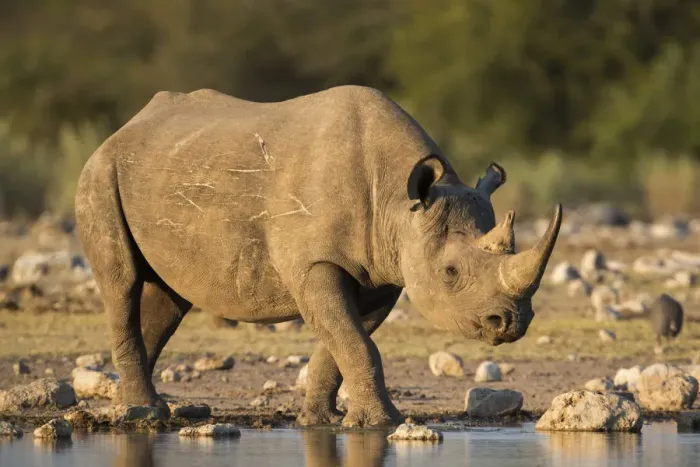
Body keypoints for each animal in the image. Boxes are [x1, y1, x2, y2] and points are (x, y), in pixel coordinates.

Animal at [75, 85, 562, 427]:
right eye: (451, 271)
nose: (512, 323)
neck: (400, 206)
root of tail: (122, 129)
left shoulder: (381, 274)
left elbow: (345, 339)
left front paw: (321, 421)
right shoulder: (314, 263)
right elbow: (354, 341)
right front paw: (383, 424)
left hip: (164, 170)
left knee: (170, 297)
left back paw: (136, 407)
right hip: (100, 174)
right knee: (121, 284)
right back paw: (143, 414)